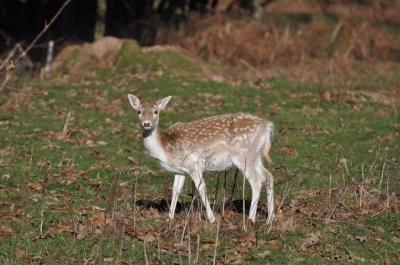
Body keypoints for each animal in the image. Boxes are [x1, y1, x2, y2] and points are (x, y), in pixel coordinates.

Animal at [128, 95, 276, 223]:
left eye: (156, 111)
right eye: (139, 111)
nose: (146, 123)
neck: (165, 147)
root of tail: (267, 126)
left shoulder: (192, 163)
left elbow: (201, 188)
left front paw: (212, 219)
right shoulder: (180, 170)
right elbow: (175, 191)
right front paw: (170, 218)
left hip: (242, 155)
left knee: (256, 181)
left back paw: (251, 219)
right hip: (255, 156)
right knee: (268, 176)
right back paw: (269, 219)